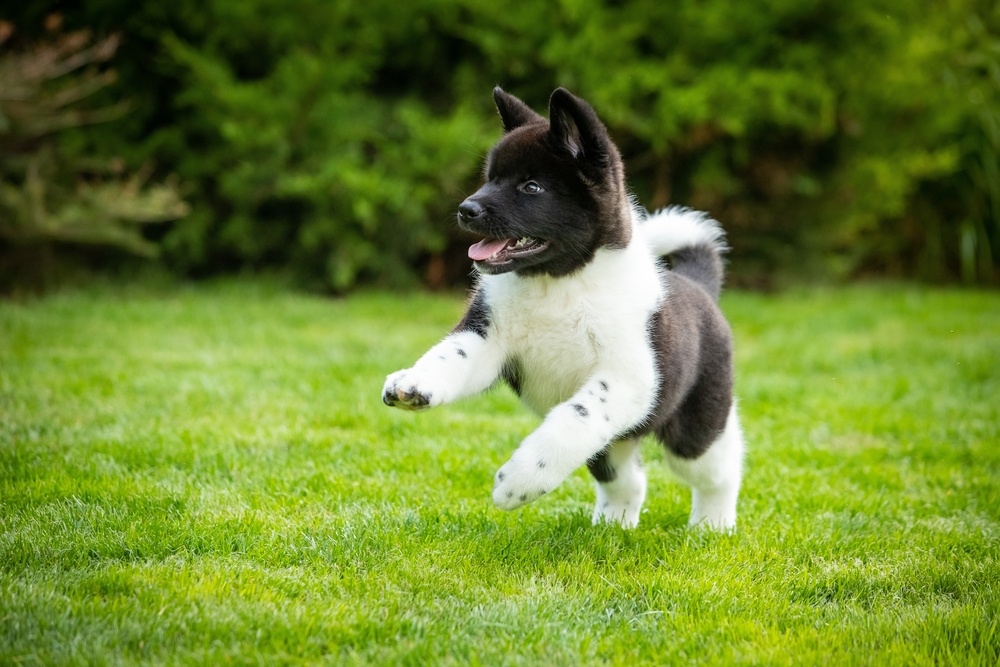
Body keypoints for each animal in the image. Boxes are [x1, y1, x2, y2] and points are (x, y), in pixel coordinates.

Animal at [382, 86, 744, 528]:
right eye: (491, 179)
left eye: (531, 187)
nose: (466, 209)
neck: (558, 283)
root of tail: (698, 286)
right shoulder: (488, 338)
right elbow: (450, 356)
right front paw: (414, 383)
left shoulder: (626, 378)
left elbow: (574, 421)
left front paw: (517, 483)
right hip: (615, 444)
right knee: (628, 479)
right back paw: (614, 524)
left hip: (695, 425)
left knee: (720, 467)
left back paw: (713, 525)